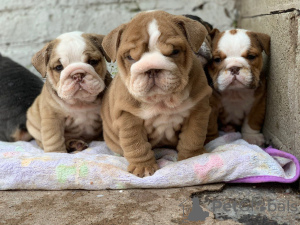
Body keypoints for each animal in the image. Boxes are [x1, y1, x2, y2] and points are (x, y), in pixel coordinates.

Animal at [100, 11, 211, 178]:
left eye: (174, 52)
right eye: (130, 57)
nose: (151, 69)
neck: (162, 100)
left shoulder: (197, 111)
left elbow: (193, 136)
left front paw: (192, 157)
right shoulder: (129, 119)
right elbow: (136, 145)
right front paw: (143, 167)